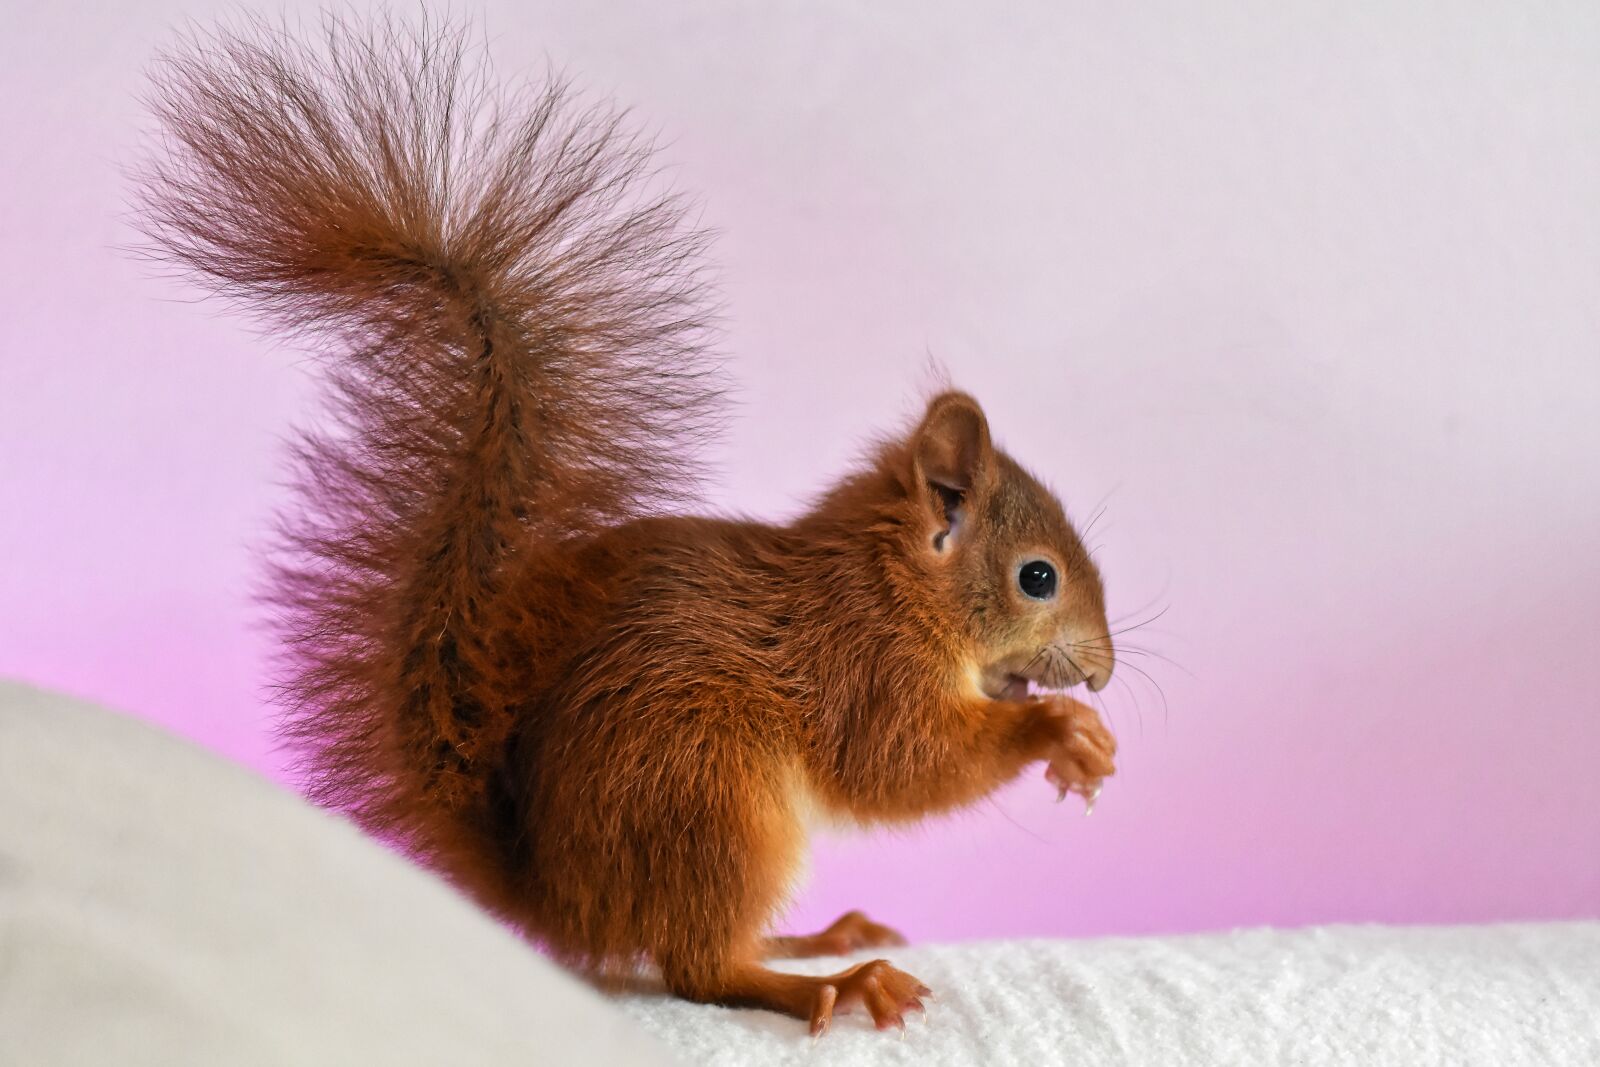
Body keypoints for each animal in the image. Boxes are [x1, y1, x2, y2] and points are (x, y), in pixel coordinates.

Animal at [135, 17, 1118, 1035]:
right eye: (1037, 577)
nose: (1104, 672)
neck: (888, 585)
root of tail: (559, 897)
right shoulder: (862, 668)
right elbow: (902, 764)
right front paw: (1059, 730)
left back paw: (817, 936)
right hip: (710, 797)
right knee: (699, 964)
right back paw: (834, 978)